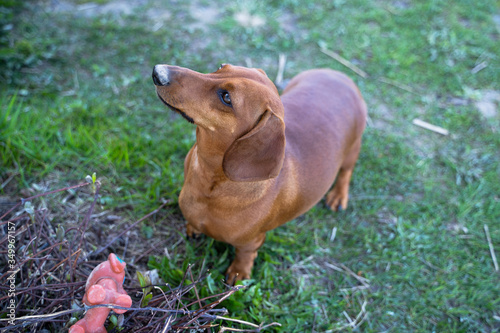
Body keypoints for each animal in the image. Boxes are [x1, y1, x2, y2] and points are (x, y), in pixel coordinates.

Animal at [150, 63, 366, 282]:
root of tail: (339, 75)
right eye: (221, 67)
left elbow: (244, 255)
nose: (158, 72)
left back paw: (338, 196)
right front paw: (192, 229)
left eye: (226, 97)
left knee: (346, 172)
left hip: (353, 150)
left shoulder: (251, 241)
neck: (209, 181)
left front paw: (238, 273)